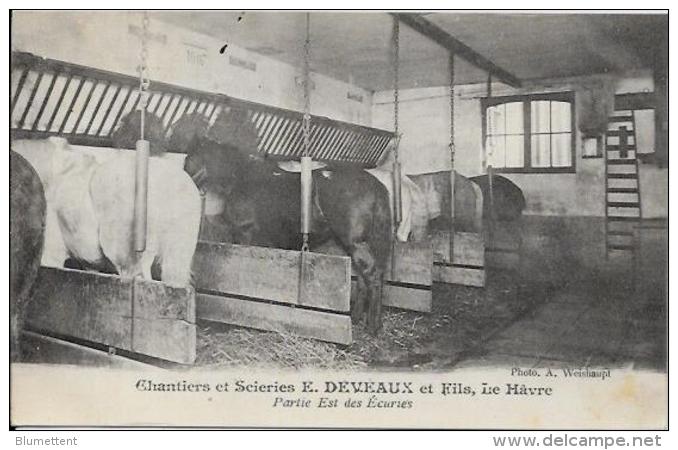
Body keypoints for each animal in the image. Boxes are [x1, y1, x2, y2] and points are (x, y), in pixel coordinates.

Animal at [171, 110, 394, 332]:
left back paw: (373, 327)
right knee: (365, 278)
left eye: (189, 160)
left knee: (372, 275)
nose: (182, 188)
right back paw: (359, 319)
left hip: (355, 243)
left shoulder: (245, 235)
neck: (242, 178)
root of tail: (375, 185)